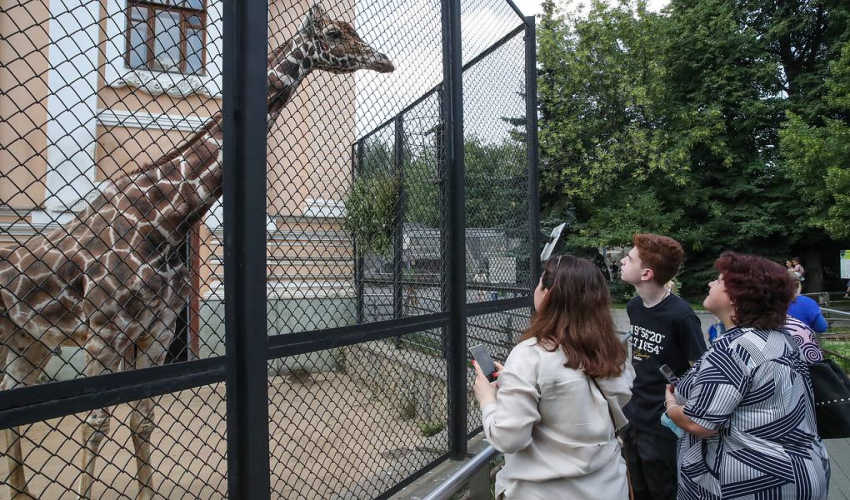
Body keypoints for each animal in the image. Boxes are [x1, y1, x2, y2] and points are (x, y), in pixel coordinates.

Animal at [0, 1, 390, 498]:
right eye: (336, 33)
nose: (384, 60)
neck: (164, 222)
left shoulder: (157, 332)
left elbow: (142, 422)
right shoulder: (105, 332)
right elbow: (95, 425)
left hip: (30, 339)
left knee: (15, 391)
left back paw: (21, 491)